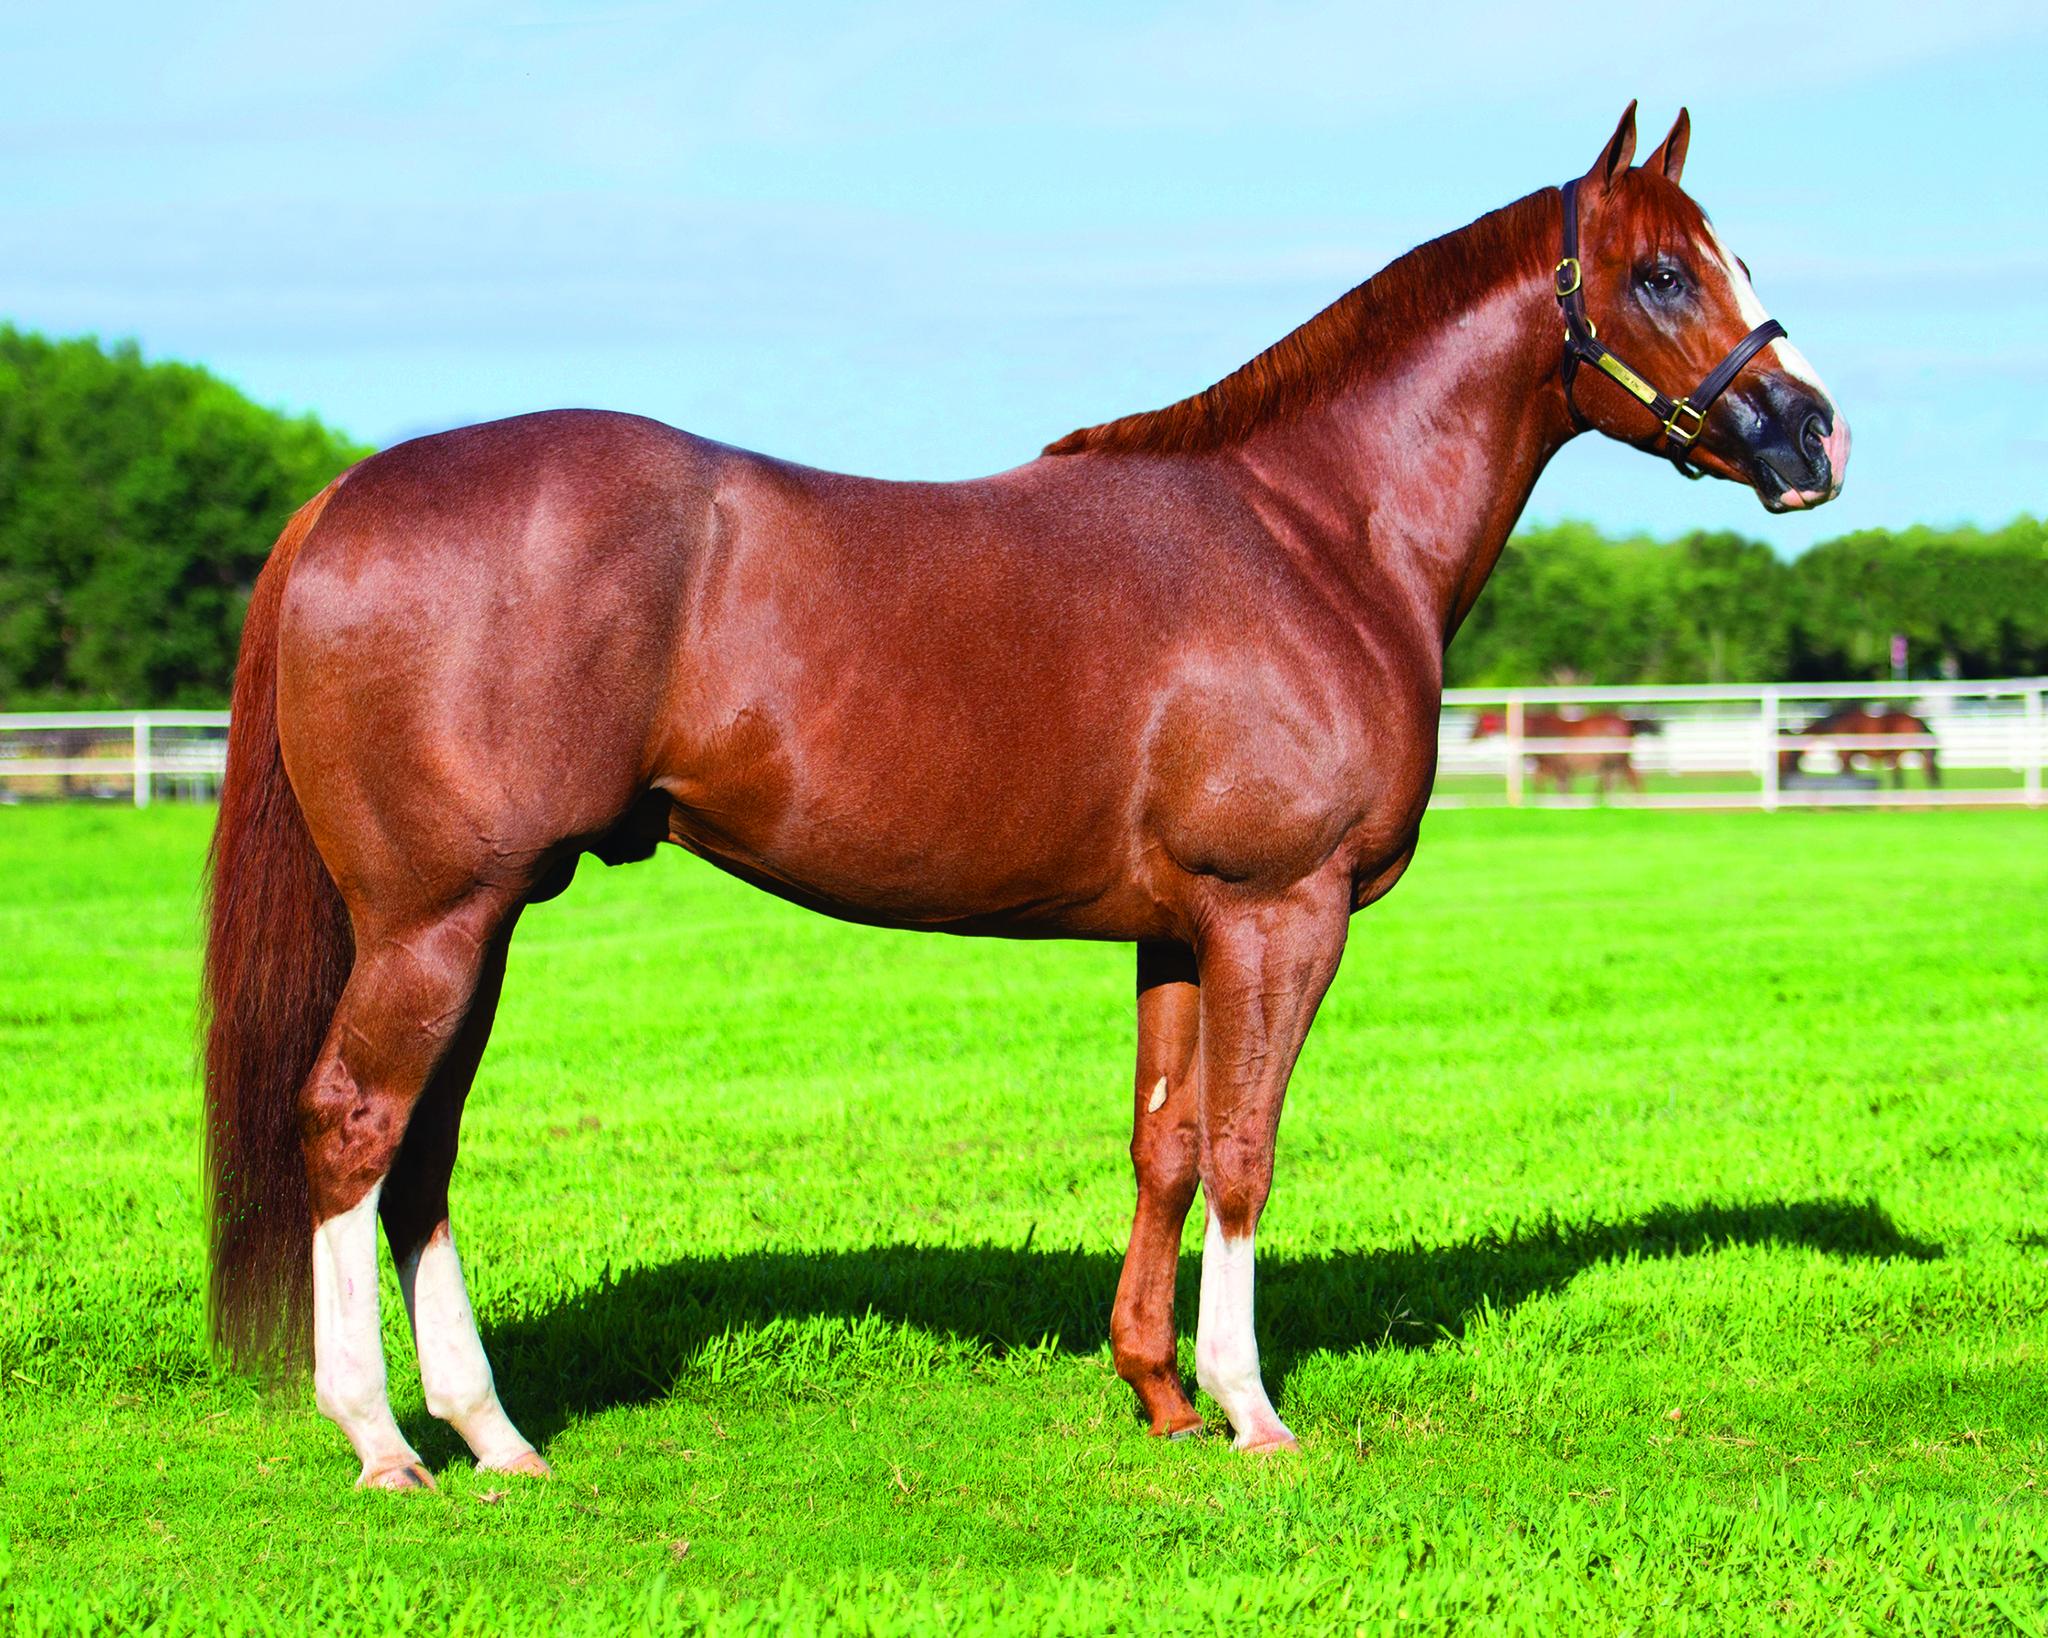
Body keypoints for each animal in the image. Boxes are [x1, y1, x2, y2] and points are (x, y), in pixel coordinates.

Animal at [1470, 708, 1659, 796]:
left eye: (1479, 722)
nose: (1470, 736)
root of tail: (1628, 722)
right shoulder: (1552, 768)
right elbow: (1549, 786)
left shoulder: (1556, 766)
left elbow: (1560, 789)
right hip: (1614, 763)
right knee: (1615, 782)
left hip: (1617, 760)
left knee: (1631, 780)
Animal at [1779, 704, 1939, 787]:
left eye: (1786, 757)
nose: (1782, 782)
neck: (1838, 724)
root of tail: (1915, 719)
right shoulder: (1849, 756)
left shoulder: (1845, 755)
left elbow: (1846, 774)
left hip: (1899, 753)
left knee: (1904, 774)